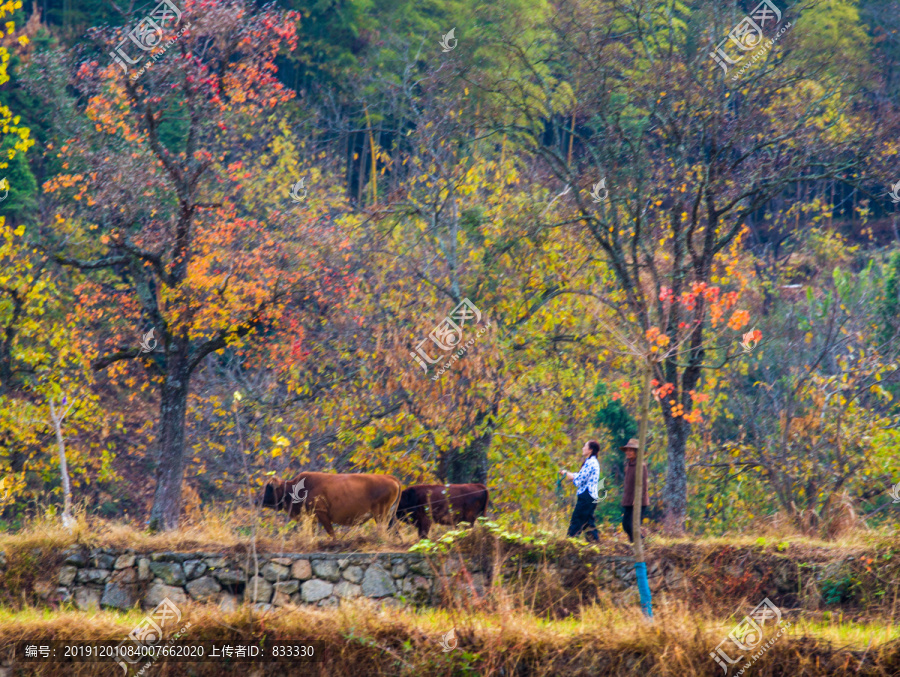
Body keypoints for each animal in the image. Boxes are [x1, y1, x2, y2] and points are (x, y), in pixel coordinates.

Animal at [260, 472, 400, 536]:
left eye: (269, 488)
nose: (261, 501)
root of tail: (391, 478)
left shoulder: (322, 514)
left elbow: (331, 532)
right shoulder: (313, 518)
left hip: (380, 515)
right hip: (389, 515)